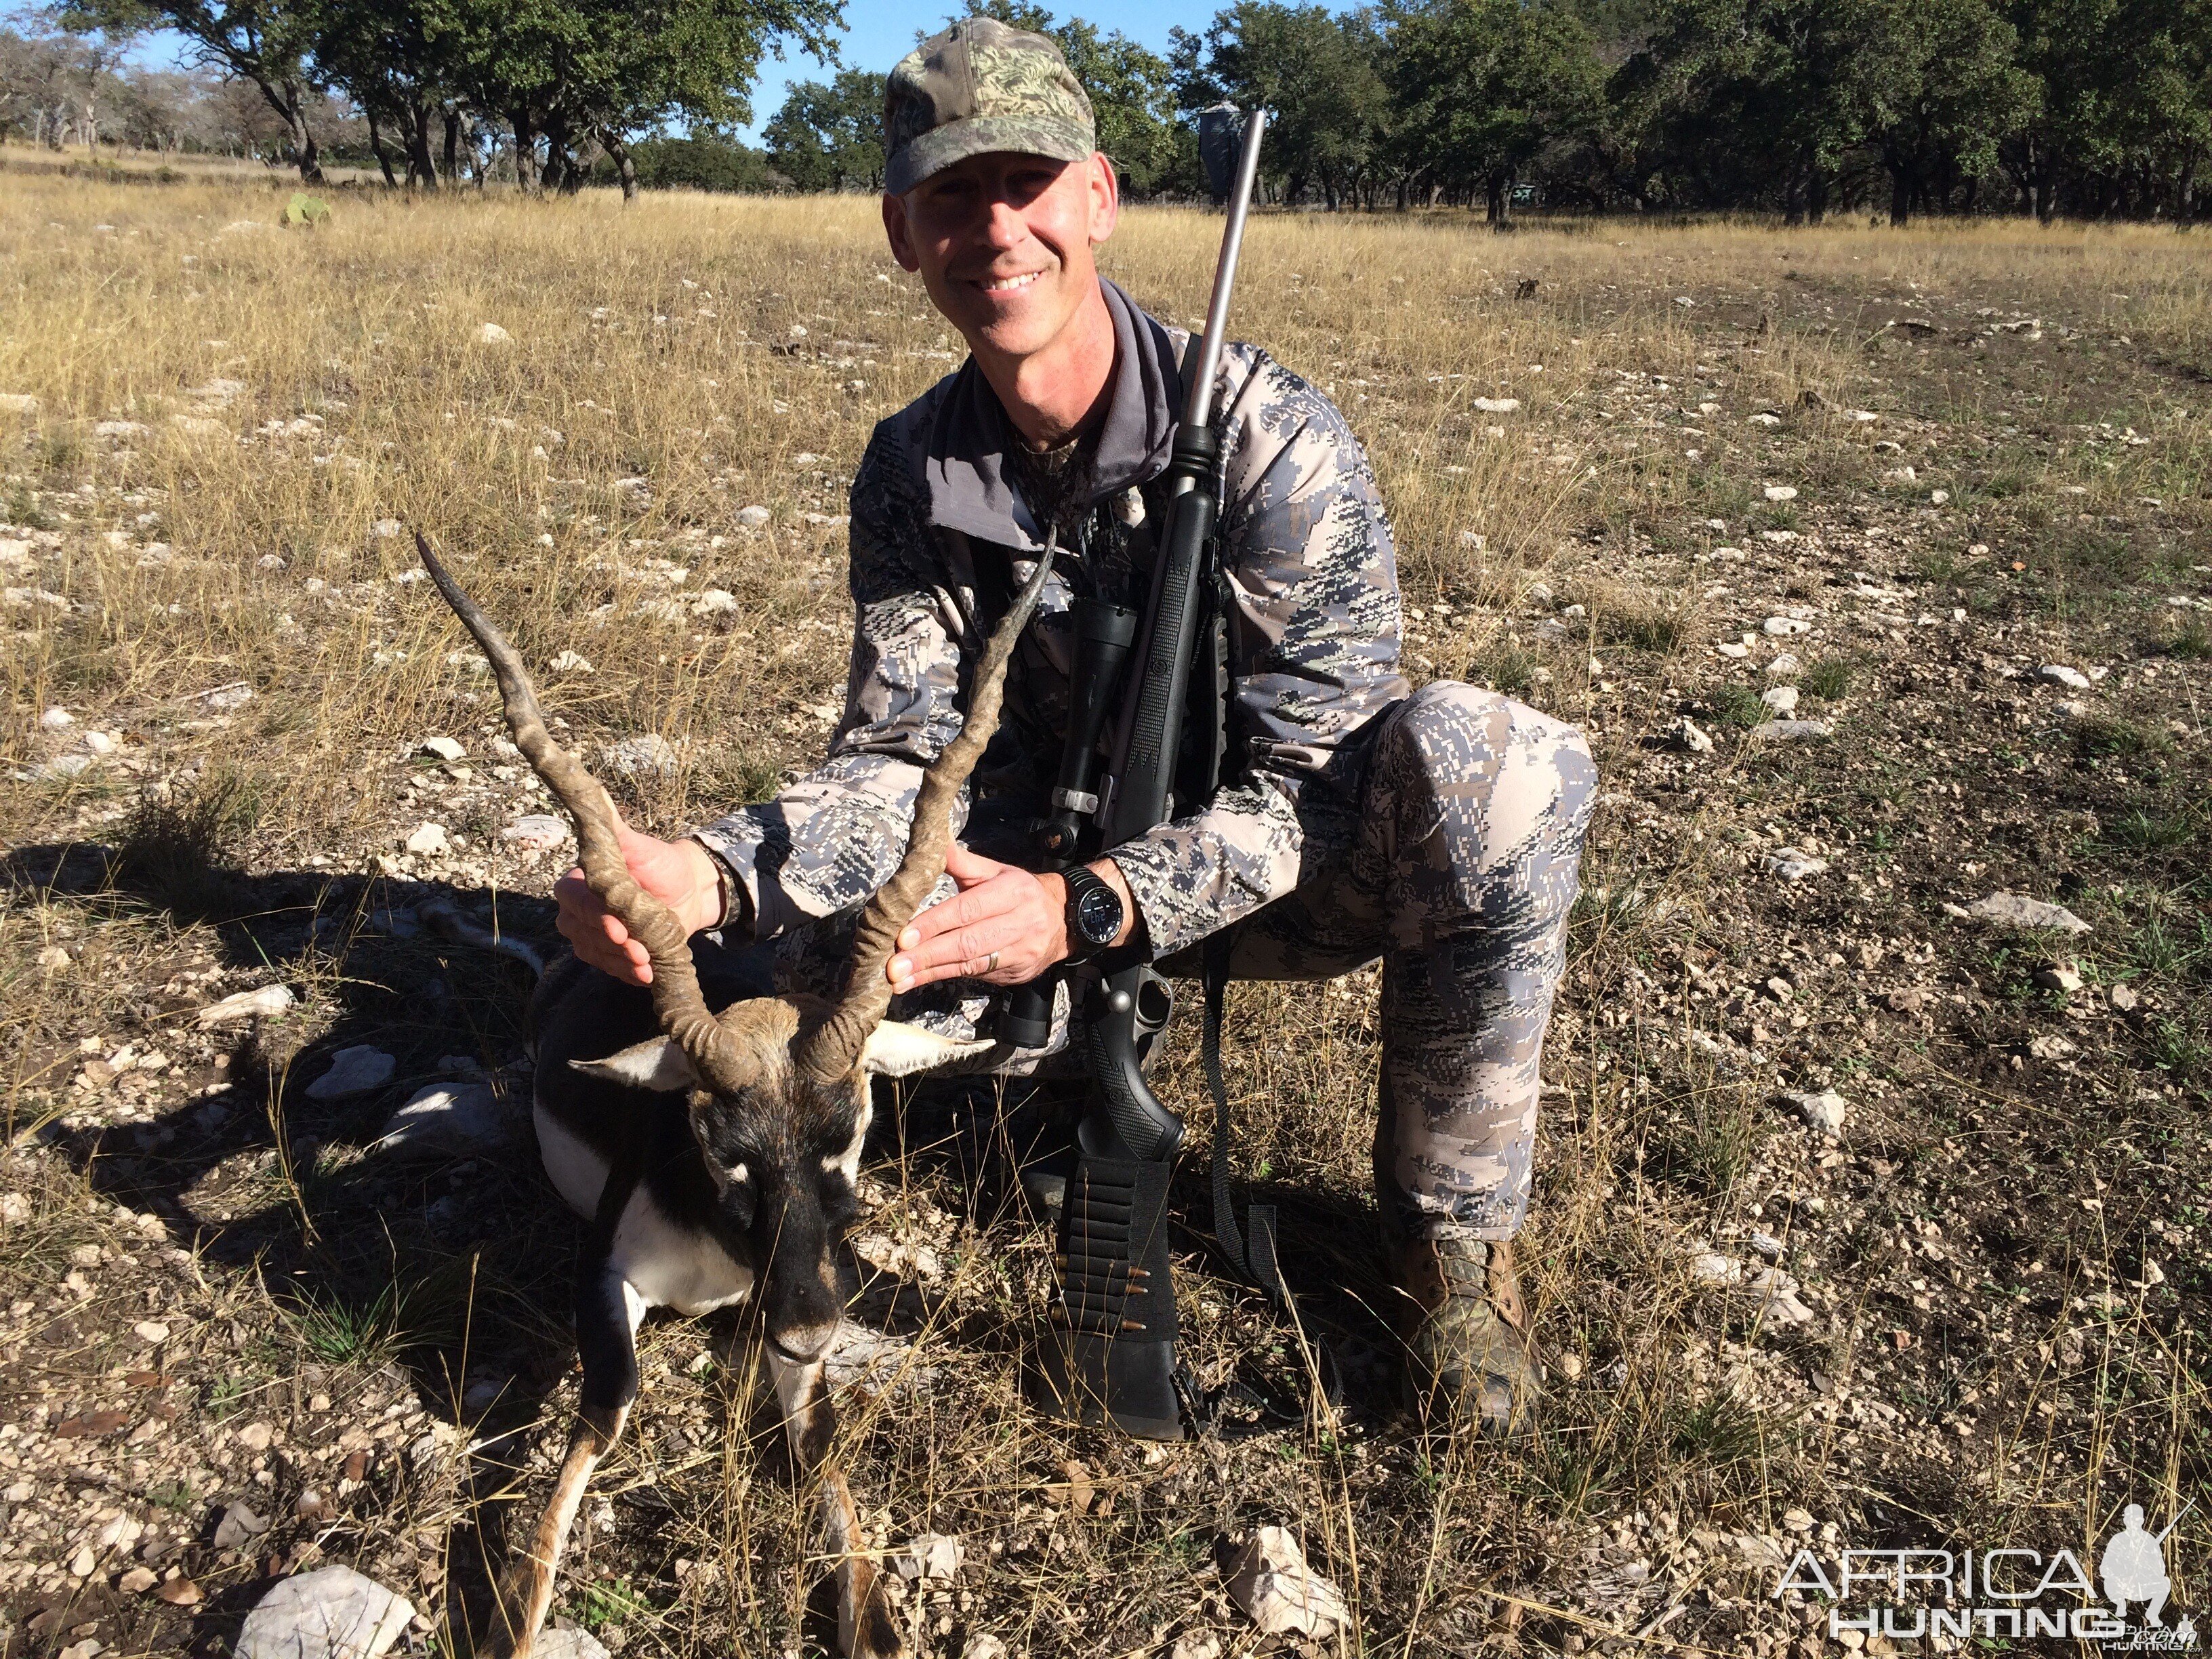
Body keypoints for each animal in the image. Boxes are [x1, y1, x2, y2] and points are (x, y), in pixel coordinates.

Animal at [415, 533, 1052, 1659]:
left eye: (852, 1133)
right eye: (721, 1146)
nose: (803, 1325)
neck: (725, 1260)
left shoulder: (802, 1299)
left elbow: (823, 1452)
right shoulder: (610, 1279)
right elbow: (604, 1413)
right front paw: (512, 1617)